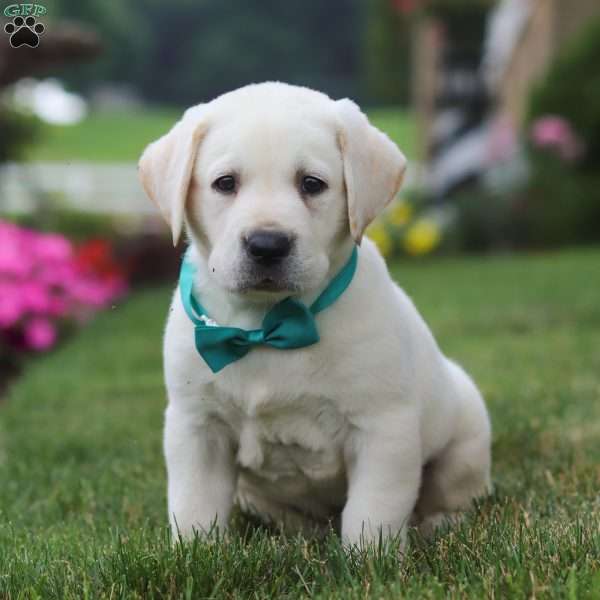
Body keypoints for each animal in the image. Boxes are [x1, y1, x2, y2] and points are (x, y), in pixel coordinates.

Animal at [141, 81, 492, 548]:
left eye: (312, 184)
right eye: (225, 183)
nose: (267, 244)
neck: (266, 324)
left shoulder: (383, 428)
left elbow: (373, 512)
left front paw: (371, 560)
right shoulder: (196, 426)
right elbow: (194, 505)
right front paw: (196, 554)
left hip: (465, 442)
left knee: (454, 492)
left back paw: (440, 522)